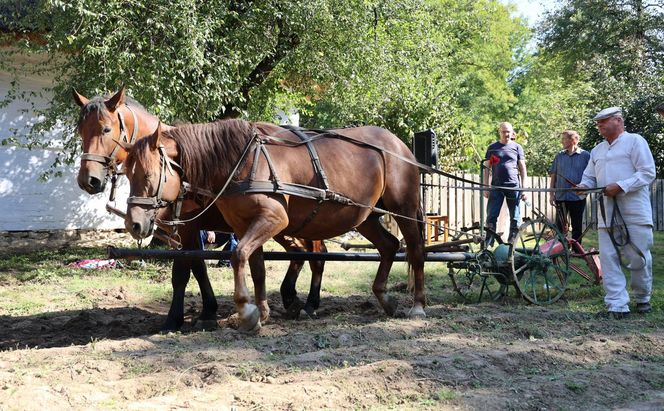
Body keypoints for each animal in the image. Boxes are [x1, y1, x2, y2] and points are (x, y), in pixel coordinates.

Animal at [72, 88, 326, 334]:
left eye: (106, 129)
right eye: (80, 131)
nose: (88, 180)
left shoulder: (188, 229)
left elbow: (184, 272)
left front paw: (181, 318)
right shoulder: (181, 234)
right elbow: (197, 268)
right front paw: (205, 312)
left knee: (314, 254)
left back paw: (309, 303)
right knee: (301, 252)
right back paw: (291, 298)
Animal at [124, 119, 426, 332]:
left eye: (148, 175)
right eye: (127, 173)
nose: (134, 223)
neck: (242, 161)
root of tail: (398, 144)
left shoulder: (273, 219)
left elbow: (237, 255)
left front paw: (246, 312)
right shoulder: (244, 225)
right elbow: (256, 266)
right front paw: (262, 311)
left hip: (404, 210)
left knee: (415, 250)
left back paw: (418, 305)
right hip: (364, 217)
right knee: (389, 245)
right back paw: (384, 298)